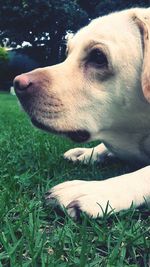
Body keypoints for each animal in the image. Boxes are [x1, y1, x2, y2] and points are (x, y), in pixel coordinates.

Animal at [13, 8, 150, 219]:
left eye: (98, 57)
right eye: (67, 53)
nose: (18, 84)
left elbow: (145, 173)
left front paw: (96, 189)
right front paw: (87, 153)